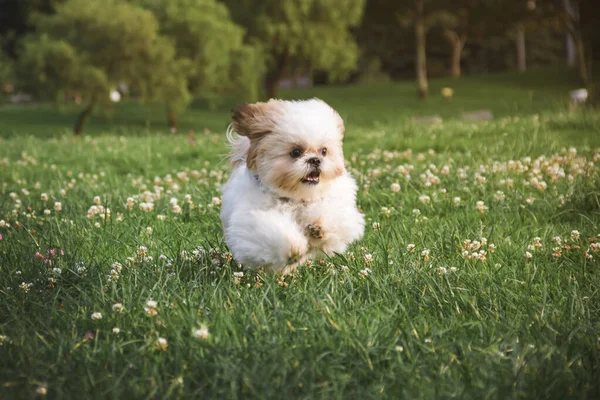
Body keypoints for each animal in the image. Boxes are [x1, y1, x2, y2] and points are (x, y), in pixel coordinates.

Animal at [218, 98, 364, 274]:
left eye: (324, 151)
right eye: (295, 152)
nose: (315, 160)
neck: (296, 197)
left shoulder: (338, 205)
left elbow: (330, 214)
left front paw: (318, 227)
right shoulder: (253, 218)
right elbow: (275, 231)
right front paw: (293, 249)